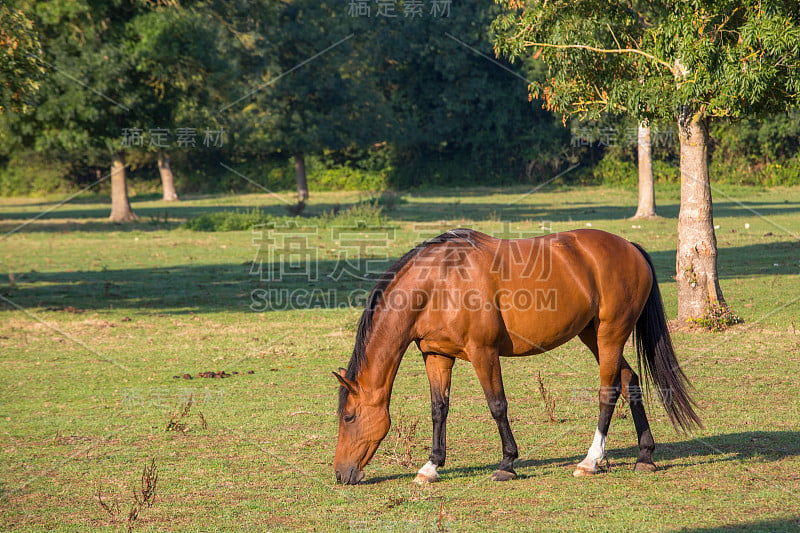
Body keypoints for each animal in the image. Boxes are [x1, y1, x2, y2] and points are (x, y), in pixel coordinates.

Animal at [334, 227, 696, 484]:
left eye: (349, 417)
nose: (341, 474)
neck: (439, 282)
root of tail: (631, 248)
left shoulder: (483, 353)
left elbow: (497, 405)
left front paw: (507, 463)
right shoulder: (437, 356)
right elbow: (439, 410)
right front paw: (431, 466)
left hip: (610, 335)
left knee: (609, 390)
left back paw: (590, 461)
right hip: (593, 336)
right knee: (629, 380)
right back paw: (645, 456)